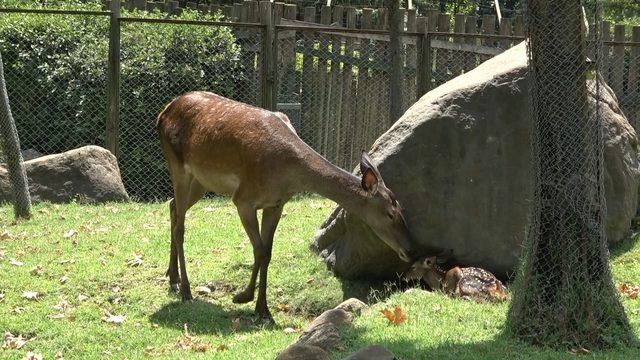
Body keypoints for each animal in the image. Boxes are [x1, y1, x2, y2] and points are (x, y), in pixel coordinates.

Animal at [156, 91, 416, 322]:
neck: (286, 172)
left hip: (202, 180)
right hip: (178, 166)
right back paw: (185, 290)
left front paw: (262, 310)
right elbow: (260, 250)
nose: (410, 250)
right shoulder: (243, 199)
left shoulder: (276, 204)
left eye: (402, 208)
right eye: (390, 214)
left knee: (173, 206)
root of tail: (163, 111)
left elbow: (267, 252)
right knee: (180, 226)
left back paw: (172, 277)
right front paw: (244, 298)